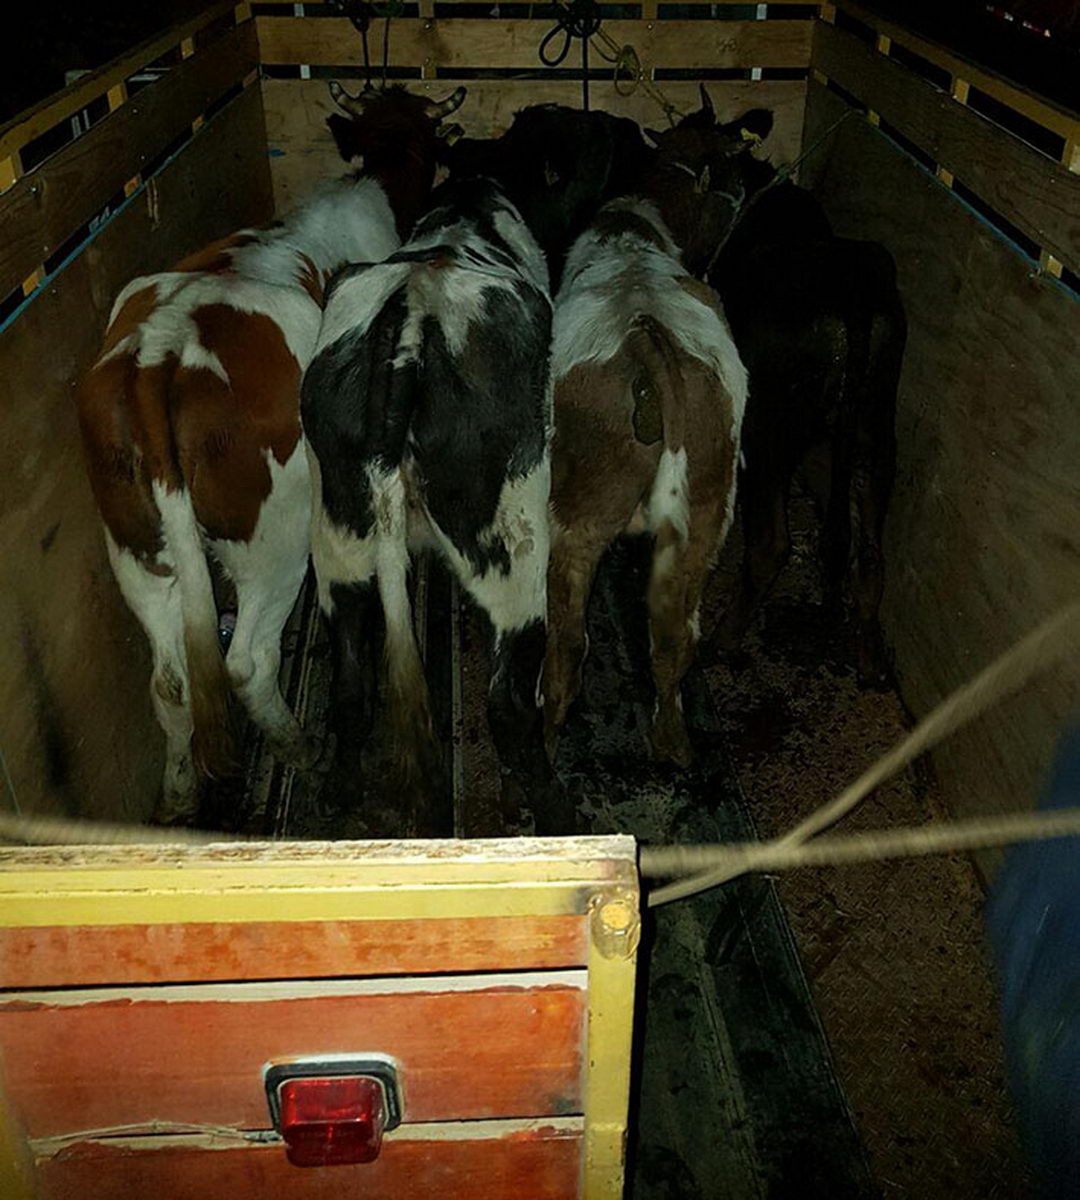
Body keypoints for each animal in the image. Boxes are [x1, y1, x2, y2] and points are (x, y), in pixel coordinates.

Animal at [77, 82, 466, 822]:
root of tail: (160, 352)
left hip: (133, 545)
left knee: (170, 682)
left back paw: (178, 790)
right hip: (276, 537)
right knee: (246, 661)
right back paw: (298, 746)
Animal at [542, 96, 762, 767]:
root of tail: (646, 335)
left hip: (577, 511)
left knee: (568, 637)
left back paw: (547, 735)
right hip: (708, 510)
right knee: (675, 635)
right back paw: (673, 739)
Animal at [703, 103, 907, 686]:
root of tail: (851, 302)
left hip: (771, 430)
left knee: (771, 544)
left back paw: (725, 637)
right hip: (876, 432)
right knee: (869, 556)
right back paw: (869, 657)